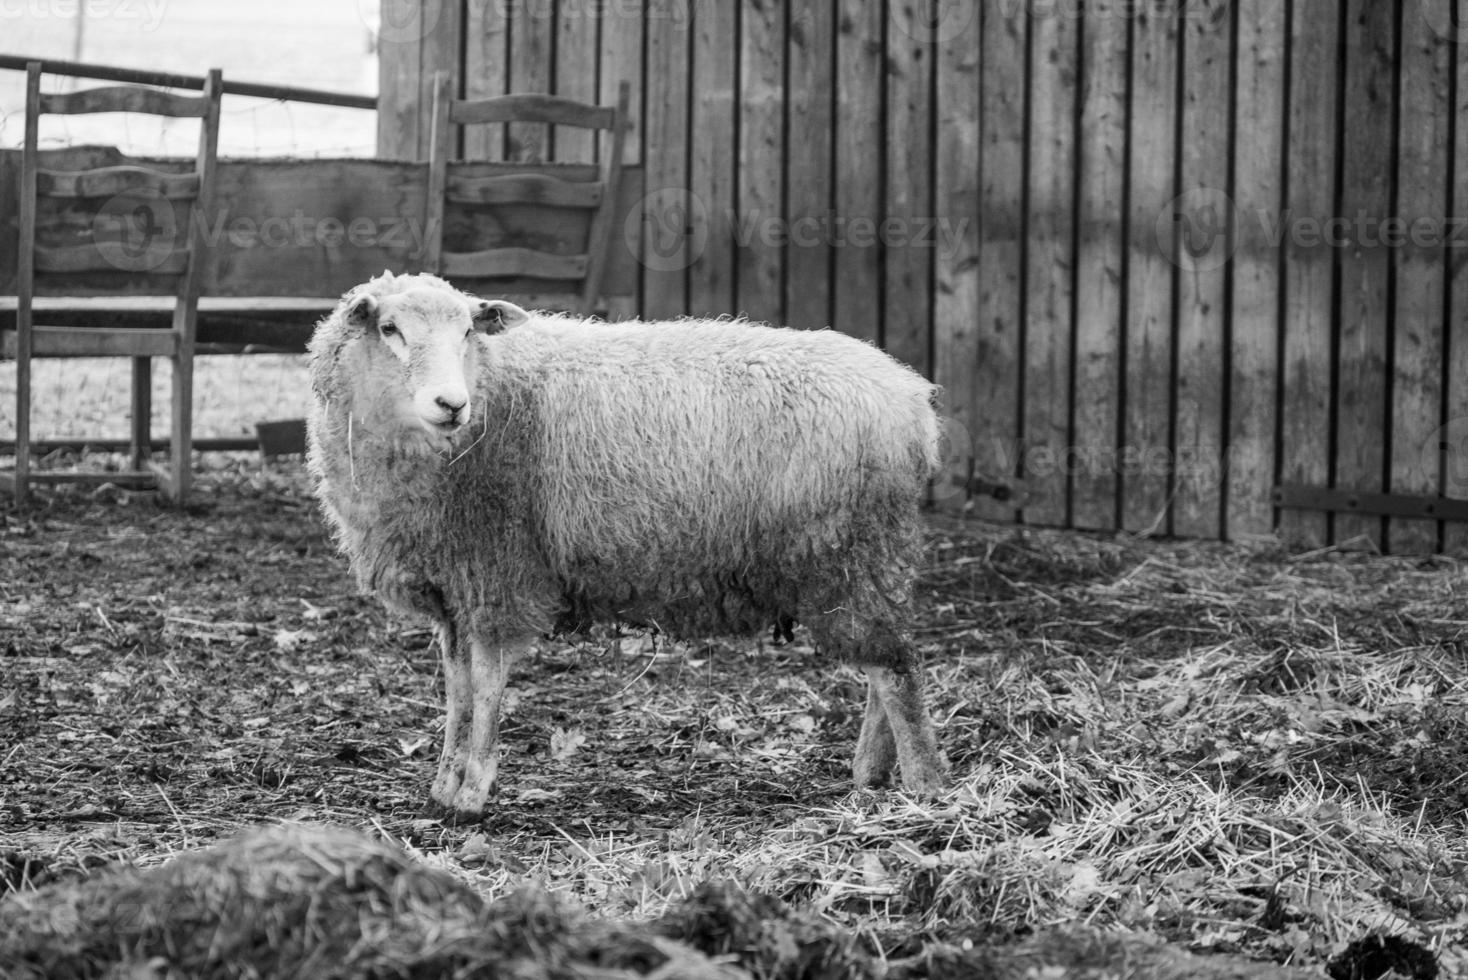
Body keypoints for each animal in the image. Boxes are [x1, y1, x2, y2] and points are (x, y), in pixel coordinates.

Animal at [309, 271, 951, 815]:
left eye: (468, 332)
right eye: (389, 329)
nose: (451, 404)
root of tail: (913, 397)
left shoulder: (496, 572)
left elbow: (487, 687)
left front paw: (472, 794)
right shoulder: (452, 588)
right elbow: (457, 689)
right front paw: (442, 787)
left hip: (851, 550)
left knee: (897, 671)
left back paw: (923, 786)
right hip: (855, 557)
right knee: (884, 664)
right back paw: (870, 773)